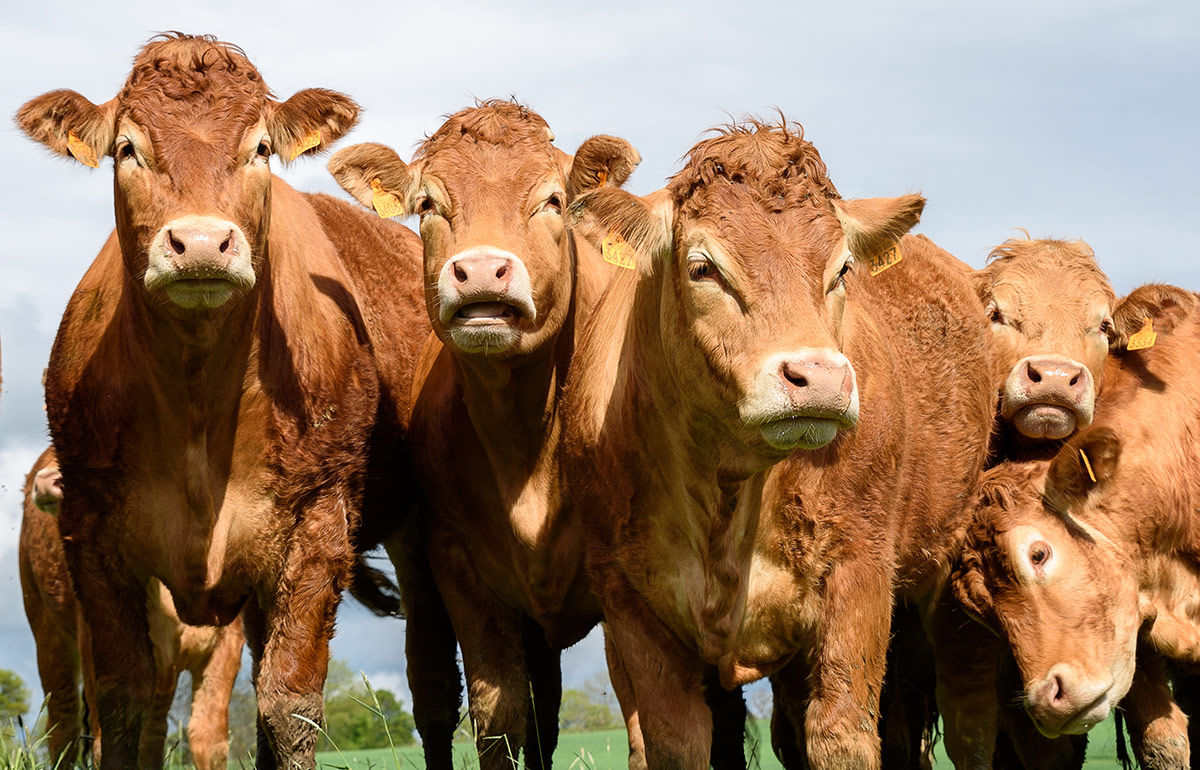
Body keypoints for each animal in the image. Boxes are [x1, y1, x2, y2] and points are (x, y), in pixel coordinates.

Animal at [561, 121, 993, 767]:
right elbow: (674, 739)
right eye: (702, 268)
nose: (819, 376)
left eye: (842, 270)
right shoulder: (626, 600)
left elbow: (842, 734)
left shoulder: (860, 575)